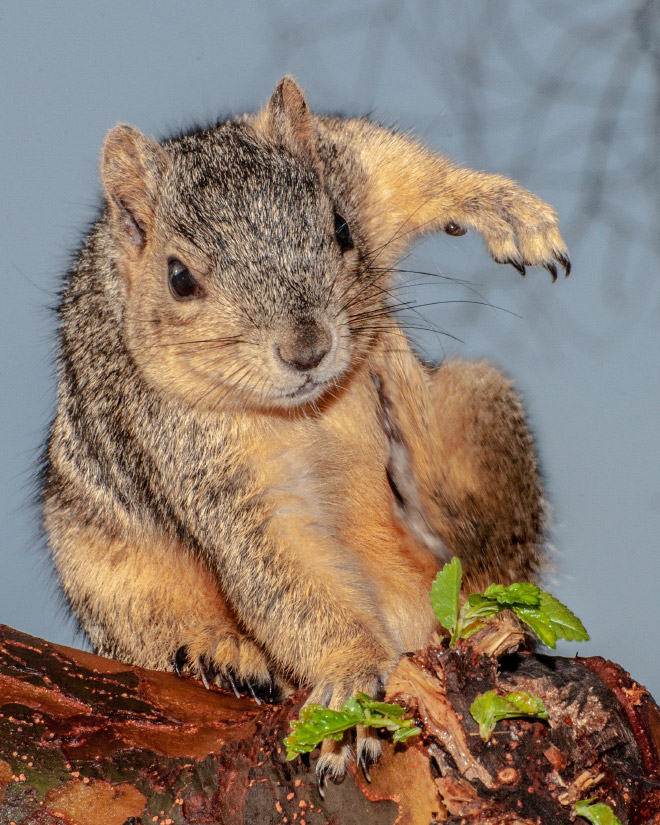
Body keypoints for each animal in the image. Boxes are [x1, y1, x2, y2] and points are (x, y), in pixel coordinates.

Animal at [41, 75, 568, 784]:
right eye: (179, 278)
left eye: (340, 228)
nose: (307, 350)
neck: (308, 412)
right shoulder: (209, 466)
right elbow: (285, 568)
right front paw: (352, 683)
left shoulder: (353, 165)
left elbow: (398, 166)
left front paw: (502, 205)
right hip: (98, 566)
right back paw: (219, 650)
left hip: (476, 396)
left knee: (491, 558)